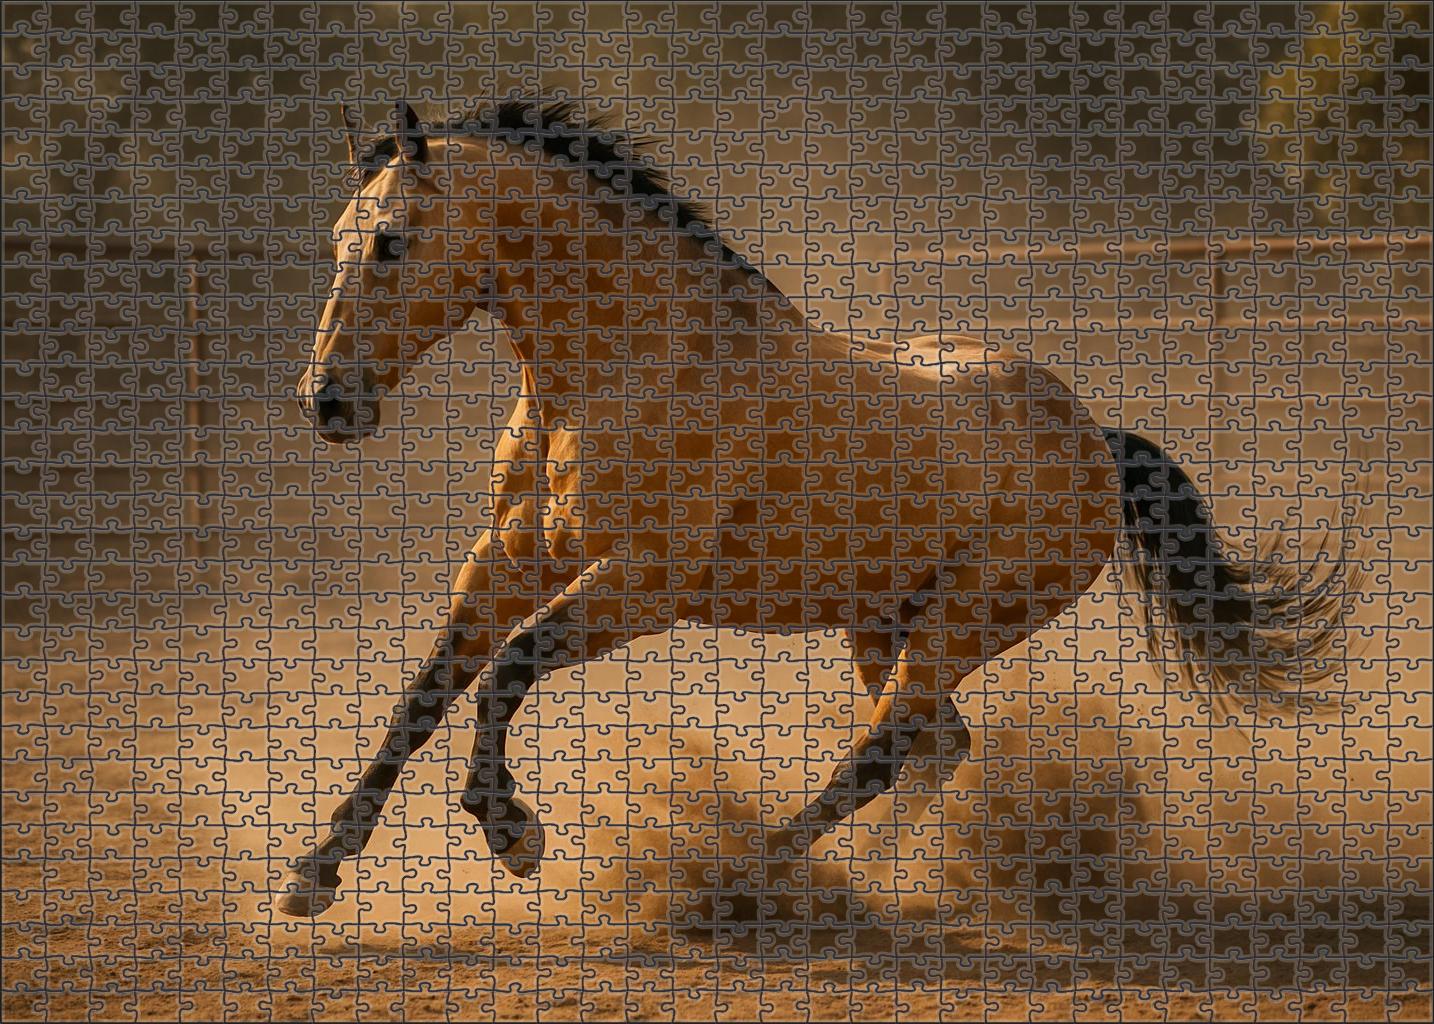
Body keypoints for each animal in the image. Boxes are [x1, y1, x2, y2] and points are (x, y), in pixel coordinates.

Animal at [277, 100, 1361, 918]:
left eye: (390, 243)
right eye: (336, 240)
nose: (327, 400)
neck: (618, 372)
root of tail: (1096, 437)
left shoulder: (638, 588)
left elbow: (504, 672)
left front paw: (513, 832)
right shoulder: (506, 561)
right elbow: (424, 695)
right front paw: (314, 874)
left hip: (960, 623)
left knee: (882, 754)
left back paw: (749, 883)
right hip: (885, 623)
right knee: (934, 747)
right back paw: (864, 878)